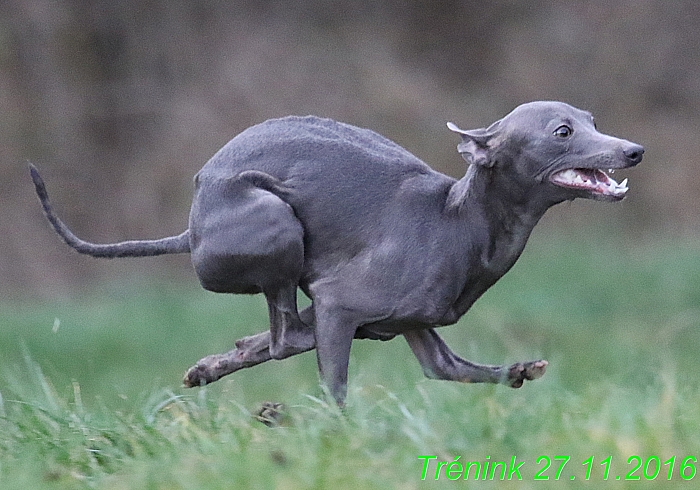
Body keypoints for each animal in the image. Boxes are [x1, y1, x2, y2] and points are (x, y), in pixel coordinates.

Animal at [32, 100, 644, 406]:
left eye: (593, 121)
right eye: (563, 131)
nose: (635, 150)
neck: (458, 221)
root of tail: (192, 227)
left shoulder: (419, 325)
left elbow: (450, 368)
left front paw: (519, 369)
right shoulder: (340, 302)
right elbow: (336, 388)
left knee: (275, 336)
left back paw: (215, 364)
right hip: (275, 223)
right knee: (285, 337)